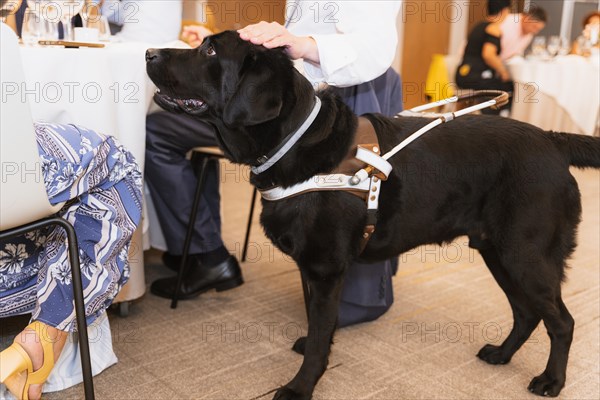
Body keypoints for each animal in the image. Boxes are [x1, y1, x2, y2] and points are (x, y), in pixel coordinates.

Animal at [146, 32, 600, 400]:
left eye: (209, 49)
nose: (149, 52)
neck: (294, 144)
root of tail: (552, 141)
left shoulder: (325, 268)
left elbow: (318, 337)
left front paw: (300, 386)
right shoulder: (311, 268)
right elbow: (317, 323)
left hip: (527, 255)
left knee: (562, 321)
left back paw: (551, 381)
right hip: (498, 251)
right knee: (527, 313)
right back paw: (502, 354)